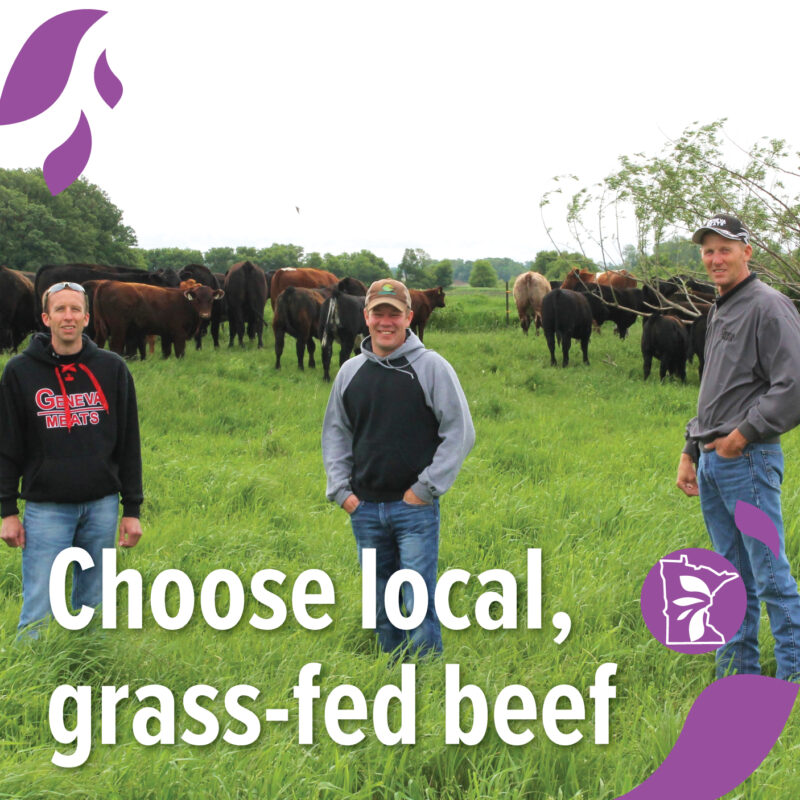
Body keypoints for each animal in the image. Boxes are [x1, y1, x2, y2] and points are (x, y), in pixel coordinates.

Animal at [94, 280, 225, 358]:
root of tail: (109, 283)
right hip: (119, 328)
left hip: (101, 327)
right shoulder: (179, 334)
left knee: (99, 343)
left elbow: (166, 352)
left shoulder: (166, 335)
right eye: (197, 299)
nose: (205, 314)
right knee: (115, 345)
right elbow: (179, 353)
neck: (186, 304)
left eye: (211, 299)